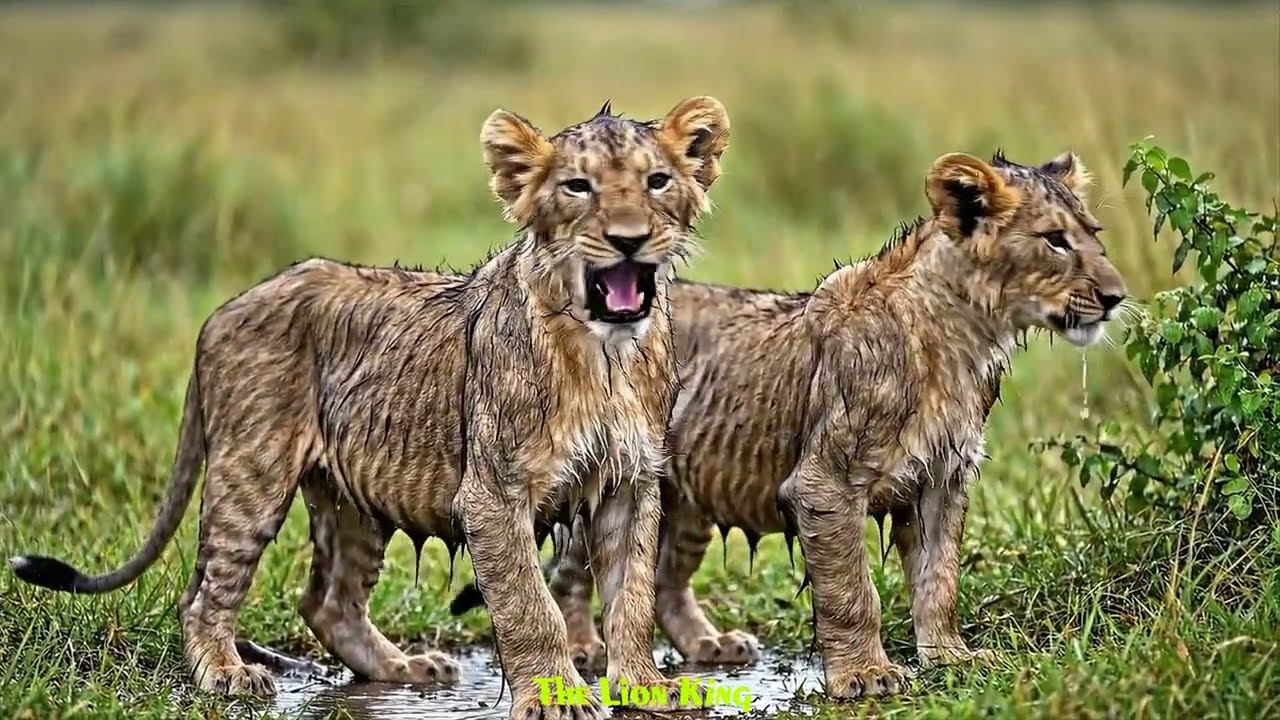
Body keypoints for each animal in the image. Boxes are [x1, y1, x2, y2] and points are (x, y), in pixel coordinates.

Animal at [9, 96, 731, 719]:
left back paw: (404, 668)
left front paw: (644, 686)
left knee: (328, 603)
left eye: (658, 181)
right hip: (252, 472)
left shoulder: (631, 481)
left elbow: (631, 594)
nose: (629, 240)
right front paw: (557, 696)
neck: (604, 355)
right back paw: (226, 672)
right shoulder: (493, 494)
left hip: (355, 497)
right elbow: (531, 604)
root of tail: (222, 311)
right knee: (206, 589)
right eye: (578, 187)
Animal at [456, 150, 1128, 700]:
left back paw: (709, 645)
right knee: (571, 570)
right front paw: (866, 675)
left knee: (665, 578)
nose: (1116, 296)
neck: (964, 338)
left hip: (683, 495)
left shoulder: (944, 477)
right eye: (1055, 240)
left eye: (1095, 236)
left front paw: (951, 659)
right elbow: (852, 588)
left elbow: (940, 578)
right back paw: (584, 651)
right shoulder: (825, 482)